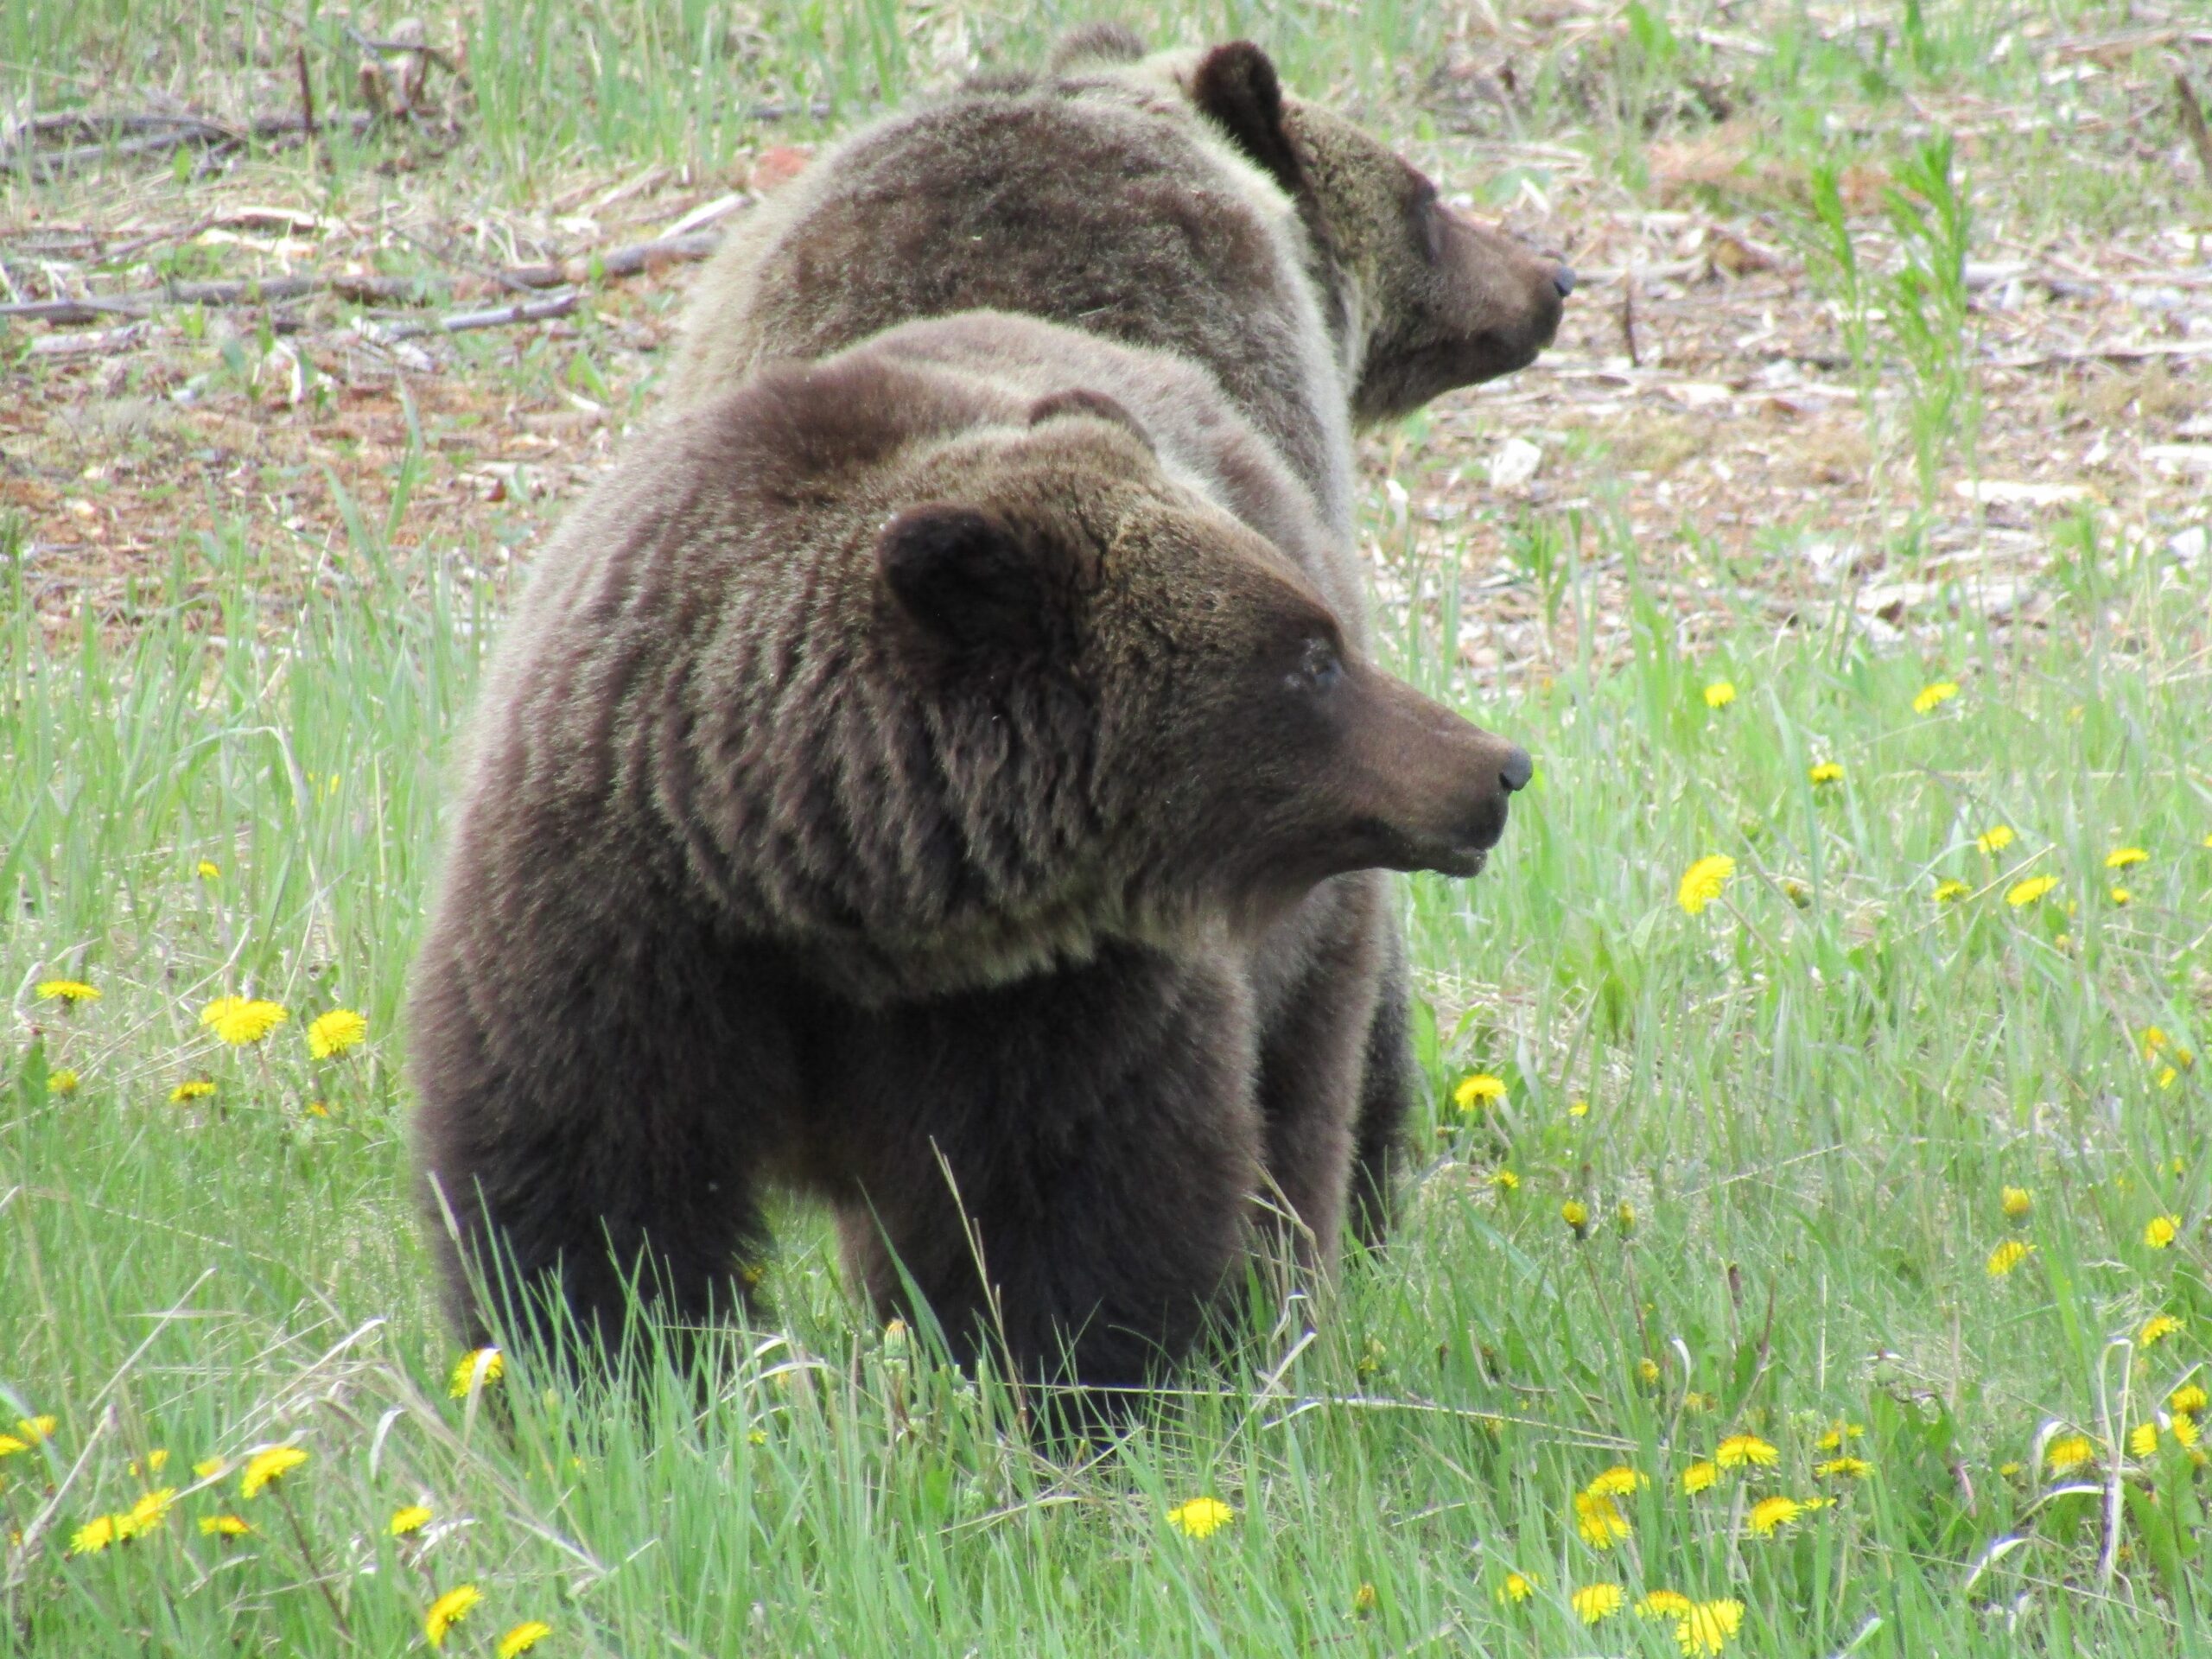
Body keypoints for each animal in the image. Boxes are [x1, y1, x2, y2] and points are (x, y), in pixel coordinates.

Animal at [407, 314, 1530, 1407]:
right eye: (1312, 660)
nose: (1499, 767)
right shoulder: (616, 923)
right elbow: (586, 1190)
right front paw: (605, 1384)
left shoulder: (1050, 995)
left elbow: (1081, 1198)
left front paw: (1089, 1392)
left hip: (1301, 953)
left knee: (1297, 1114)